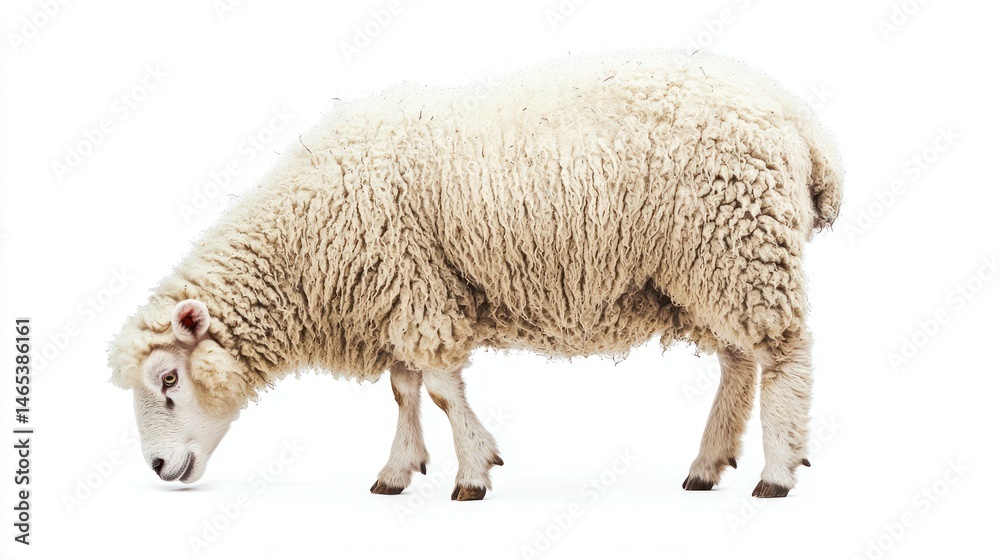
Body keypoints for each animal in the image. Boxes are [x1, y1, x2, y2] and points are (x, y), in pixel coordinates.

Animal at [108, 48, 843, 500]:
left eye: (168, 379)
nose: (159, 467)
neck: (303, 243)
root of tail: (799, 121)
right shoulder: (399, 297)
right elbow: (405, 390)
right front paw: (398, 470)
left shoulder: (413, 284)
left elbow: (437, 388)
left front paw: (472, 472)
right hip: (702, 268)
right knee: (738, 360)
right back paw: (708, 463)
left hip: (741, 244)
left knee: (784, 353)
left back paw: (778, 471)